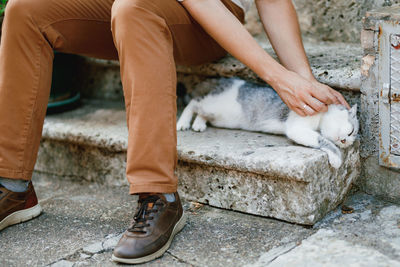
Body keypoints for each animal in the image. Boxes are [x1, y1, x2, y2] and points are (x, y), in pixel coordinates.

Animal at [177, 78, 358, 170]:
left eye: (350, 136)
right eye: (351, 131)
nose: (345, 141)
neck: (320, 120)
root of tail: (222, 80)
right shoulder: (297, 128)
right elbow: (323, 140)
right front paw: (336, 157)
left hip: (220, 117)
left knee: (200, 110)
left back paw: (199, 124)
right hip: (213, 105)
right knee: (193, 102)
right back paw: (183, 122)